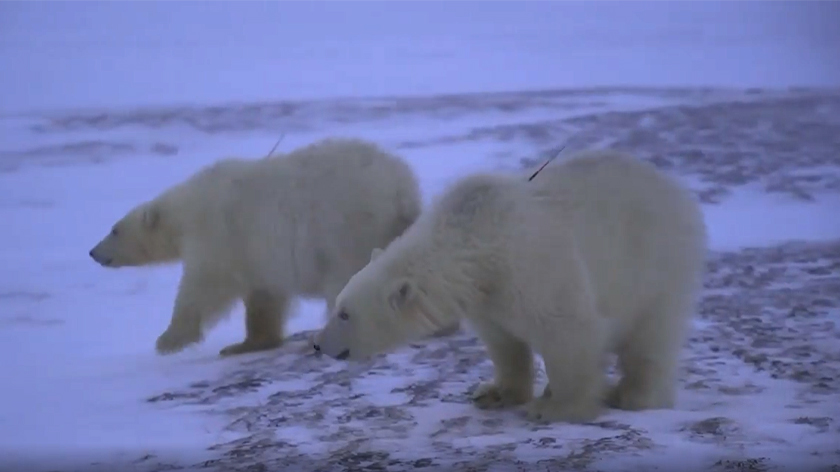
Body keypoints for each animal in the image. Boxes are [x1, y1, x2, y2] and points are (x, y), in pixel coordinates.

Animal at [91, 138, 430, 356]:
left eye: (114, 230)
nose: (93, 252)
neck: (190, 206)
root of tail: (403, 192)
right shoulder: (257, 253)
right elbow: (264, 298)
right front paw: (245, 345)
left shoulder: (218, 234)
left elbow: (202, 287)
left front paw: (168, 339)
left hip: (345, 229)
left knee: (346, 275)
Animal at [316, 150, 708, 424]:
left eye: (345, 313)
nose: (318, 344)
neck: (477, 242)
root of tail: (678, 191)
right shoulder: (488, 297)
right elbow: (504, 343)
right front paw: (494, 393)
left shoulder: (534, 268)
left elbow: (569, 330)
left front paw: (556, 407)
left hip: (654, 263)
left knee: (651, 336)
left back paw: (632, 394)